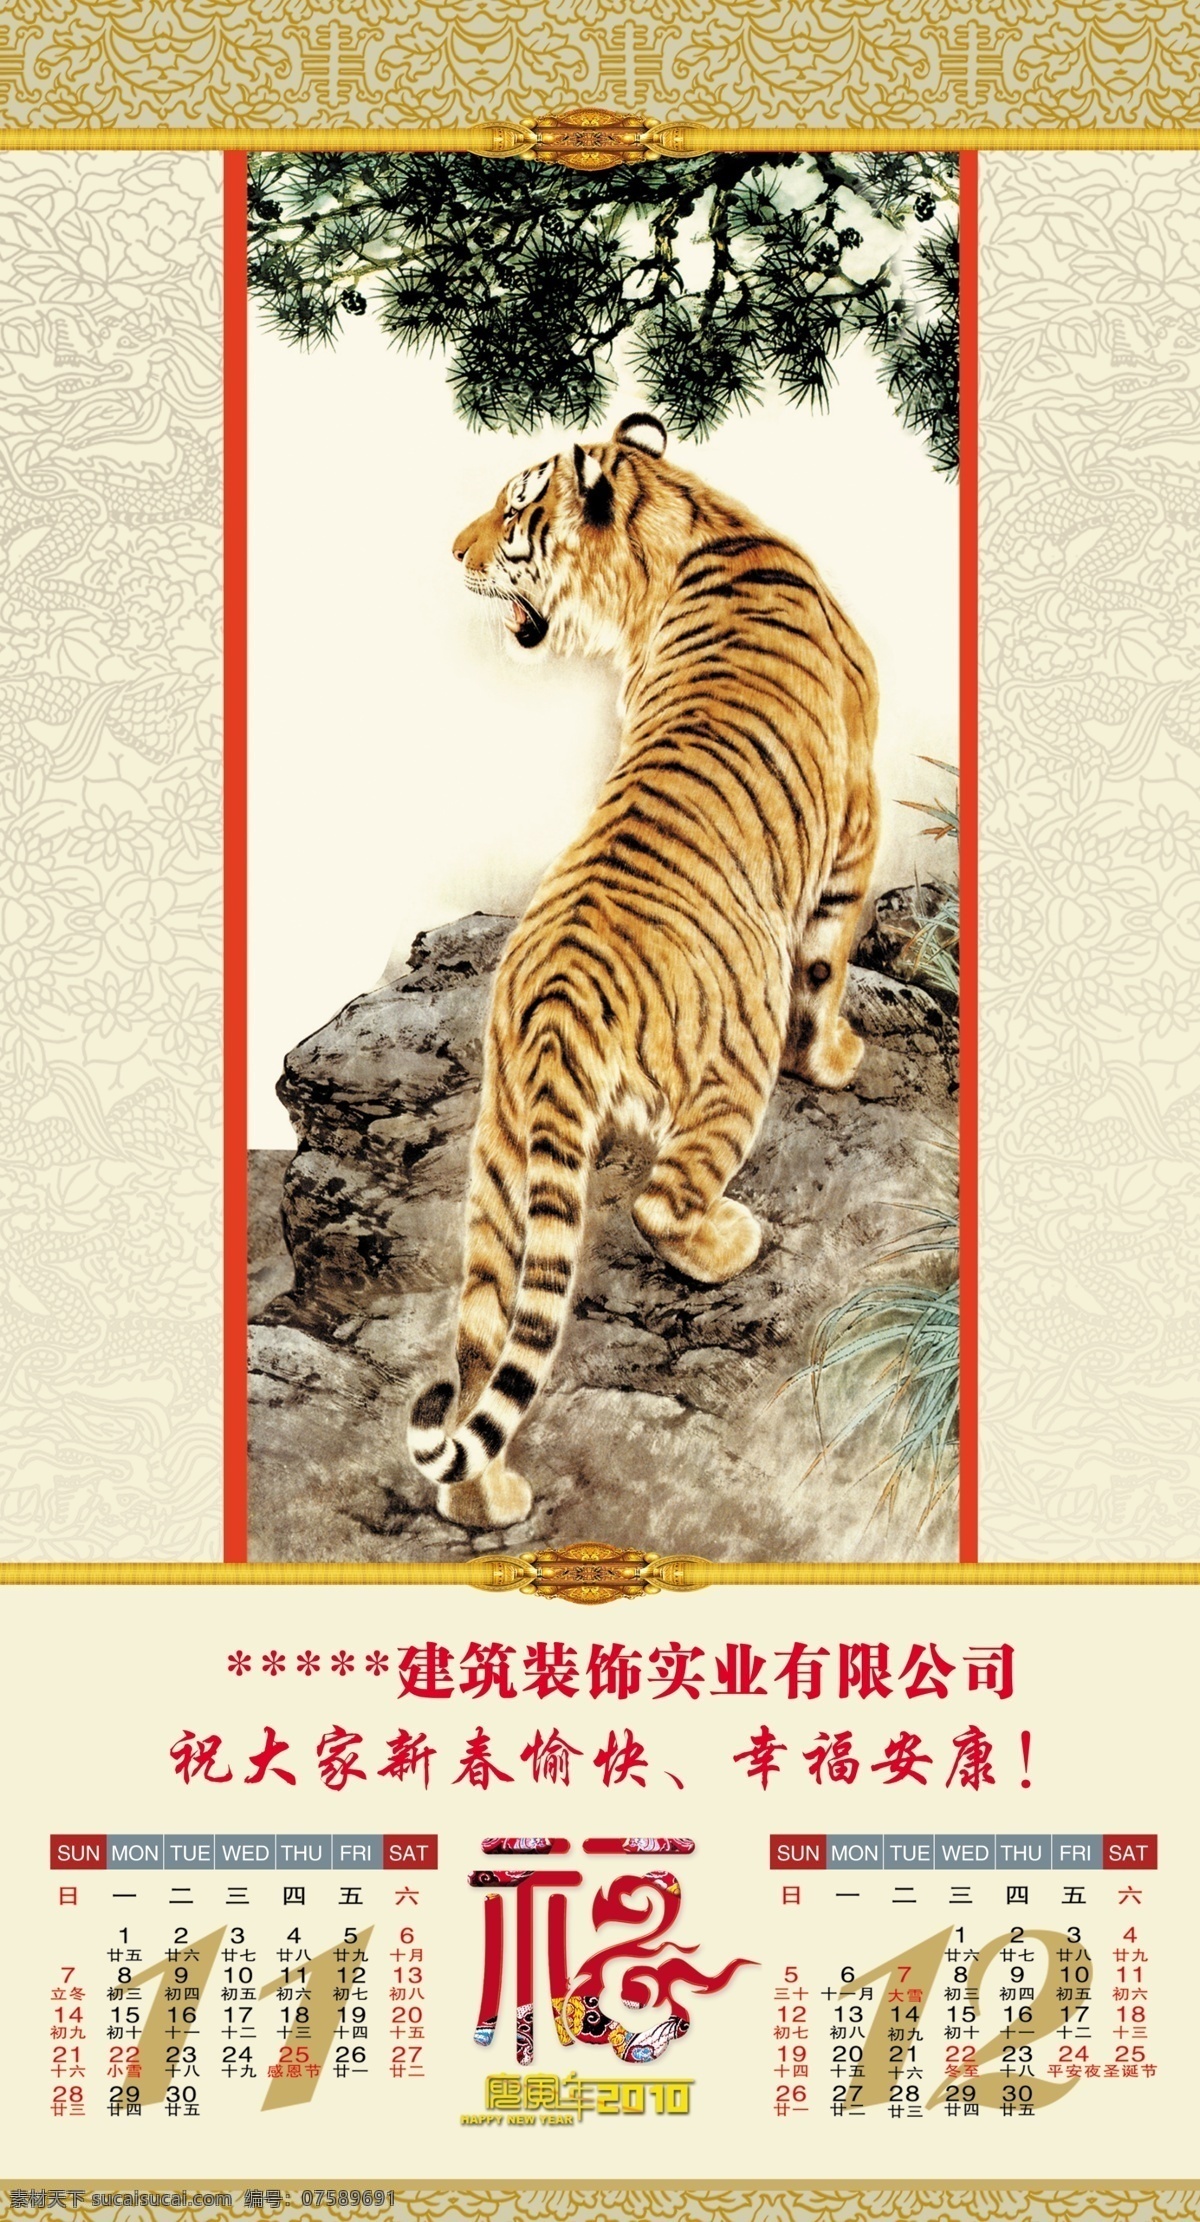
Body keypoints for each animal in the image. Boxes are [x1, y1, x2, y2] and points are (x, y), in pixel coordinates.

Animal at [408, 411, 880, 1530]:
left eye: (512, 510)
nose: (452, 551)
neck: (693, 520)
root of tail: (552, 1003)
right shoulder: (858, 817)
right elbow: (829, 962)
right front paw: (837, 1059)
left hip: (501, 1165)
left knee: (483, 1344)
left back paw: (488, 1504)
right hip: (726, 1070)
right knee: (662, 1204)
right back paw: (733, 1241)